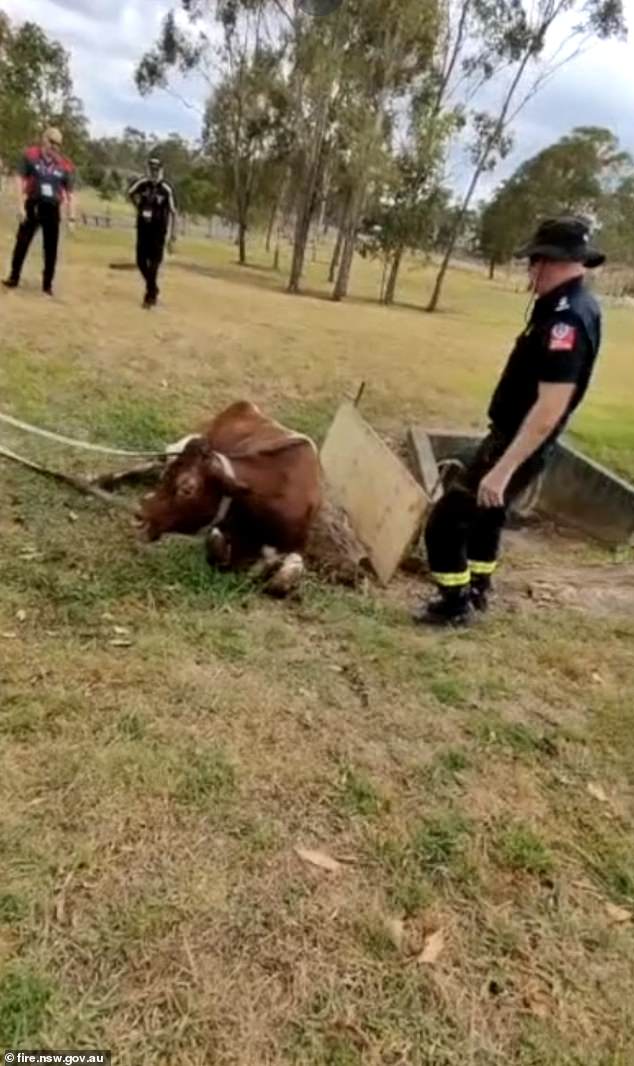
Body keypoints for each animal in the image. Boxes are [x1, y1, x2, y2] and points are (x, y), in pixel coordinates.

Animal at [135, 402, 319, 596]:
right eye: (166, 477)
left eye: (187, 489)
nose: (139, 514)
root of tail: (244, 405)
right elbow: (218, 551)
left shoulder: (299, 544)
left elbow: (281, 581)